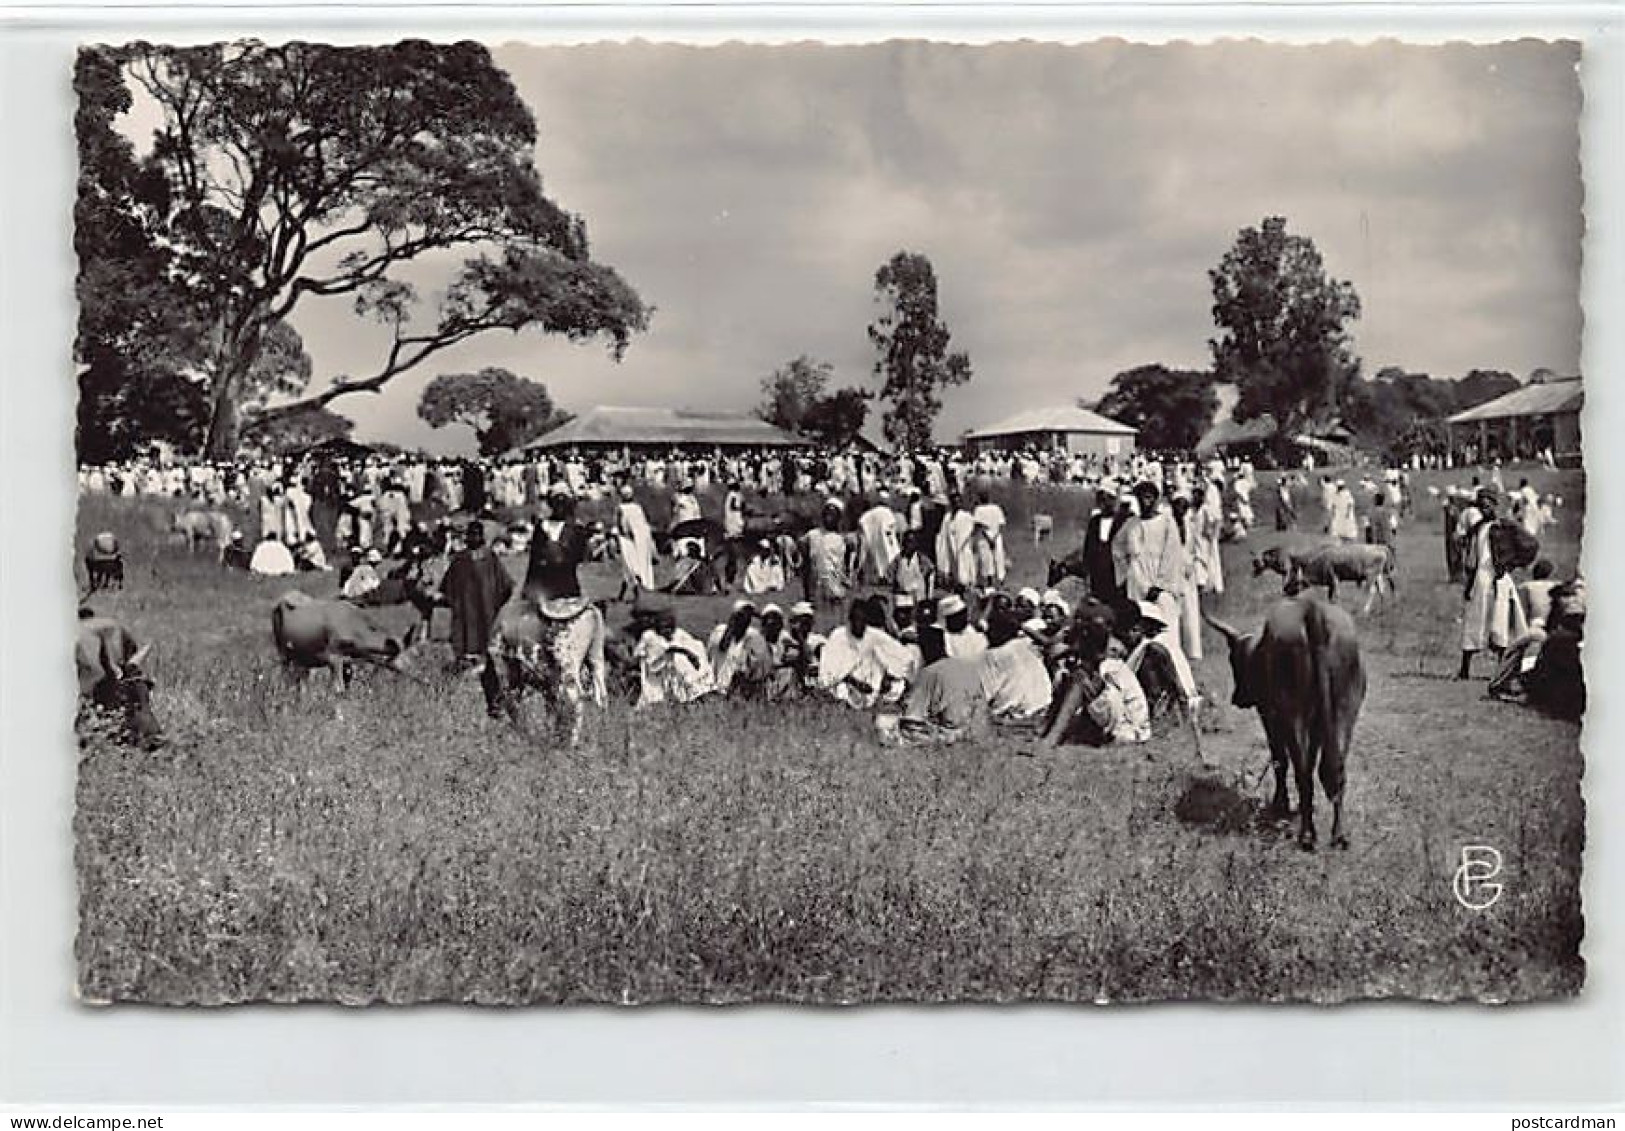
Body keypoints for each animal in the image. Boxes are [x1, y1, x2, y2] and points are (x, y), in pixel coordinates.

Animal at [487, 598, 611, 747]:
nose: (491, 712)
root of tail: (589, 606)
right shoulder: (548, 686)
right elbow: (550, 713)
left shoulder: (506, 674)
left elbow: (514, 706)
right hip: (596, 660)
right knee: (602, 699)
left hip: (568, 668)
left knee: (576, 700)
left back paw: (571, 743)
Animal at [1202, 601, 1365, 845]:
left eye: (1234, 660)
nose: (1237, 698)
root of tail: (1312, 609)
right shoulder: (1316, 726)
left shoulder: (1269, 716)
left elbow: (1280, 759)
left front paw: (1281, 803)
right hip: (1345, 714)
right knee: (1334, 771)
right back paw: (1339, 834)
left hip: (1292, 714)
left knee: (1301, 771)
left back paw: (1307, 834)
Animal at [1254, 542, 1397, 614]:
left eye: (1294, 580)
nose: (1285, 591)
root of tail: (1381, 547)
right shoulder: (1330, 584)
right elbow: (1330, 598)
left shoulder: (1335, 579)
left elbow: (1336, 596)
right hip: (1378, 576)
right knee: (1382, 591)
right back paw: (1381, 610)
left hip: (1370, 577)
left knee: (1371, 592)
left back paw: (1364, 610)